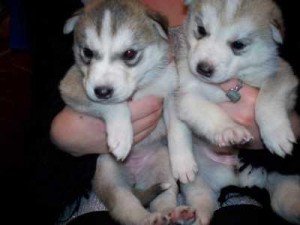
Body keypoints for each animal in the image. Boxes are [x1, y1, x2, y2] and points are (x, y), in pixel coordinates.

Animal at [59, 0, 197, 225]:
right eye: (87, 52)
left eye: (130, 54)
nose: (102, 91)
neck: (142, 84)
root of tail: (136, 181)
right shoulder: (72, 86)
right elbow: (114, 104)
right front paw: (122, 137)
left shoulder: (171, 93)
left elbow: (177, 128)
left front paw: (184, 162)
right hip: (109, 175)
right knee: (127, 209)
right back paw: (149, 219)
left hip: (162, 169)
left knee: (163, 199)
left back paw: (174, 214)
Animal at [169, 0, 300, 224]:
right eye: (201, 30)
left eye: (238, 45)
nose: (203, 68)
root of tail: (237, 182)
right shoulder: (185, 95)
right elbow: (205, 112)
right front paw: (228, 129)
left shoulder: (282, 74)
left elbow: (269, 96)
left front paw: (276, 133)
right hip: (199, 185)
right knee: (202, 202)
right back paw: (191, 215)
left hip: (283, 183)